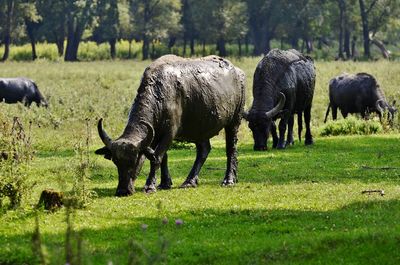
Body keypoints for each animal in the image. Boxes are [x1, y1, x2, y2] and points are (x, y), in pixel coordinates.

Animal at [95, 54, 245, 195]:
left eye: (134, 160)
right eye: (116, 161)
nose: (122, 191)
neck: (158, 94)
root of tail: (238, 72)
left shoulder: (169, 133)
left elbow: (157, 158)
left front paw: (150, 186)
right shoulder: (156, 134)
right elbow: (163, 158)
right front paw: (164, 183)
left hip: (234, 122)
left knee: (231, 149)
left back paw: (229, 180)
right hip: (199, 128)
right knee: (204, 150)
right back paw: (190, 181)